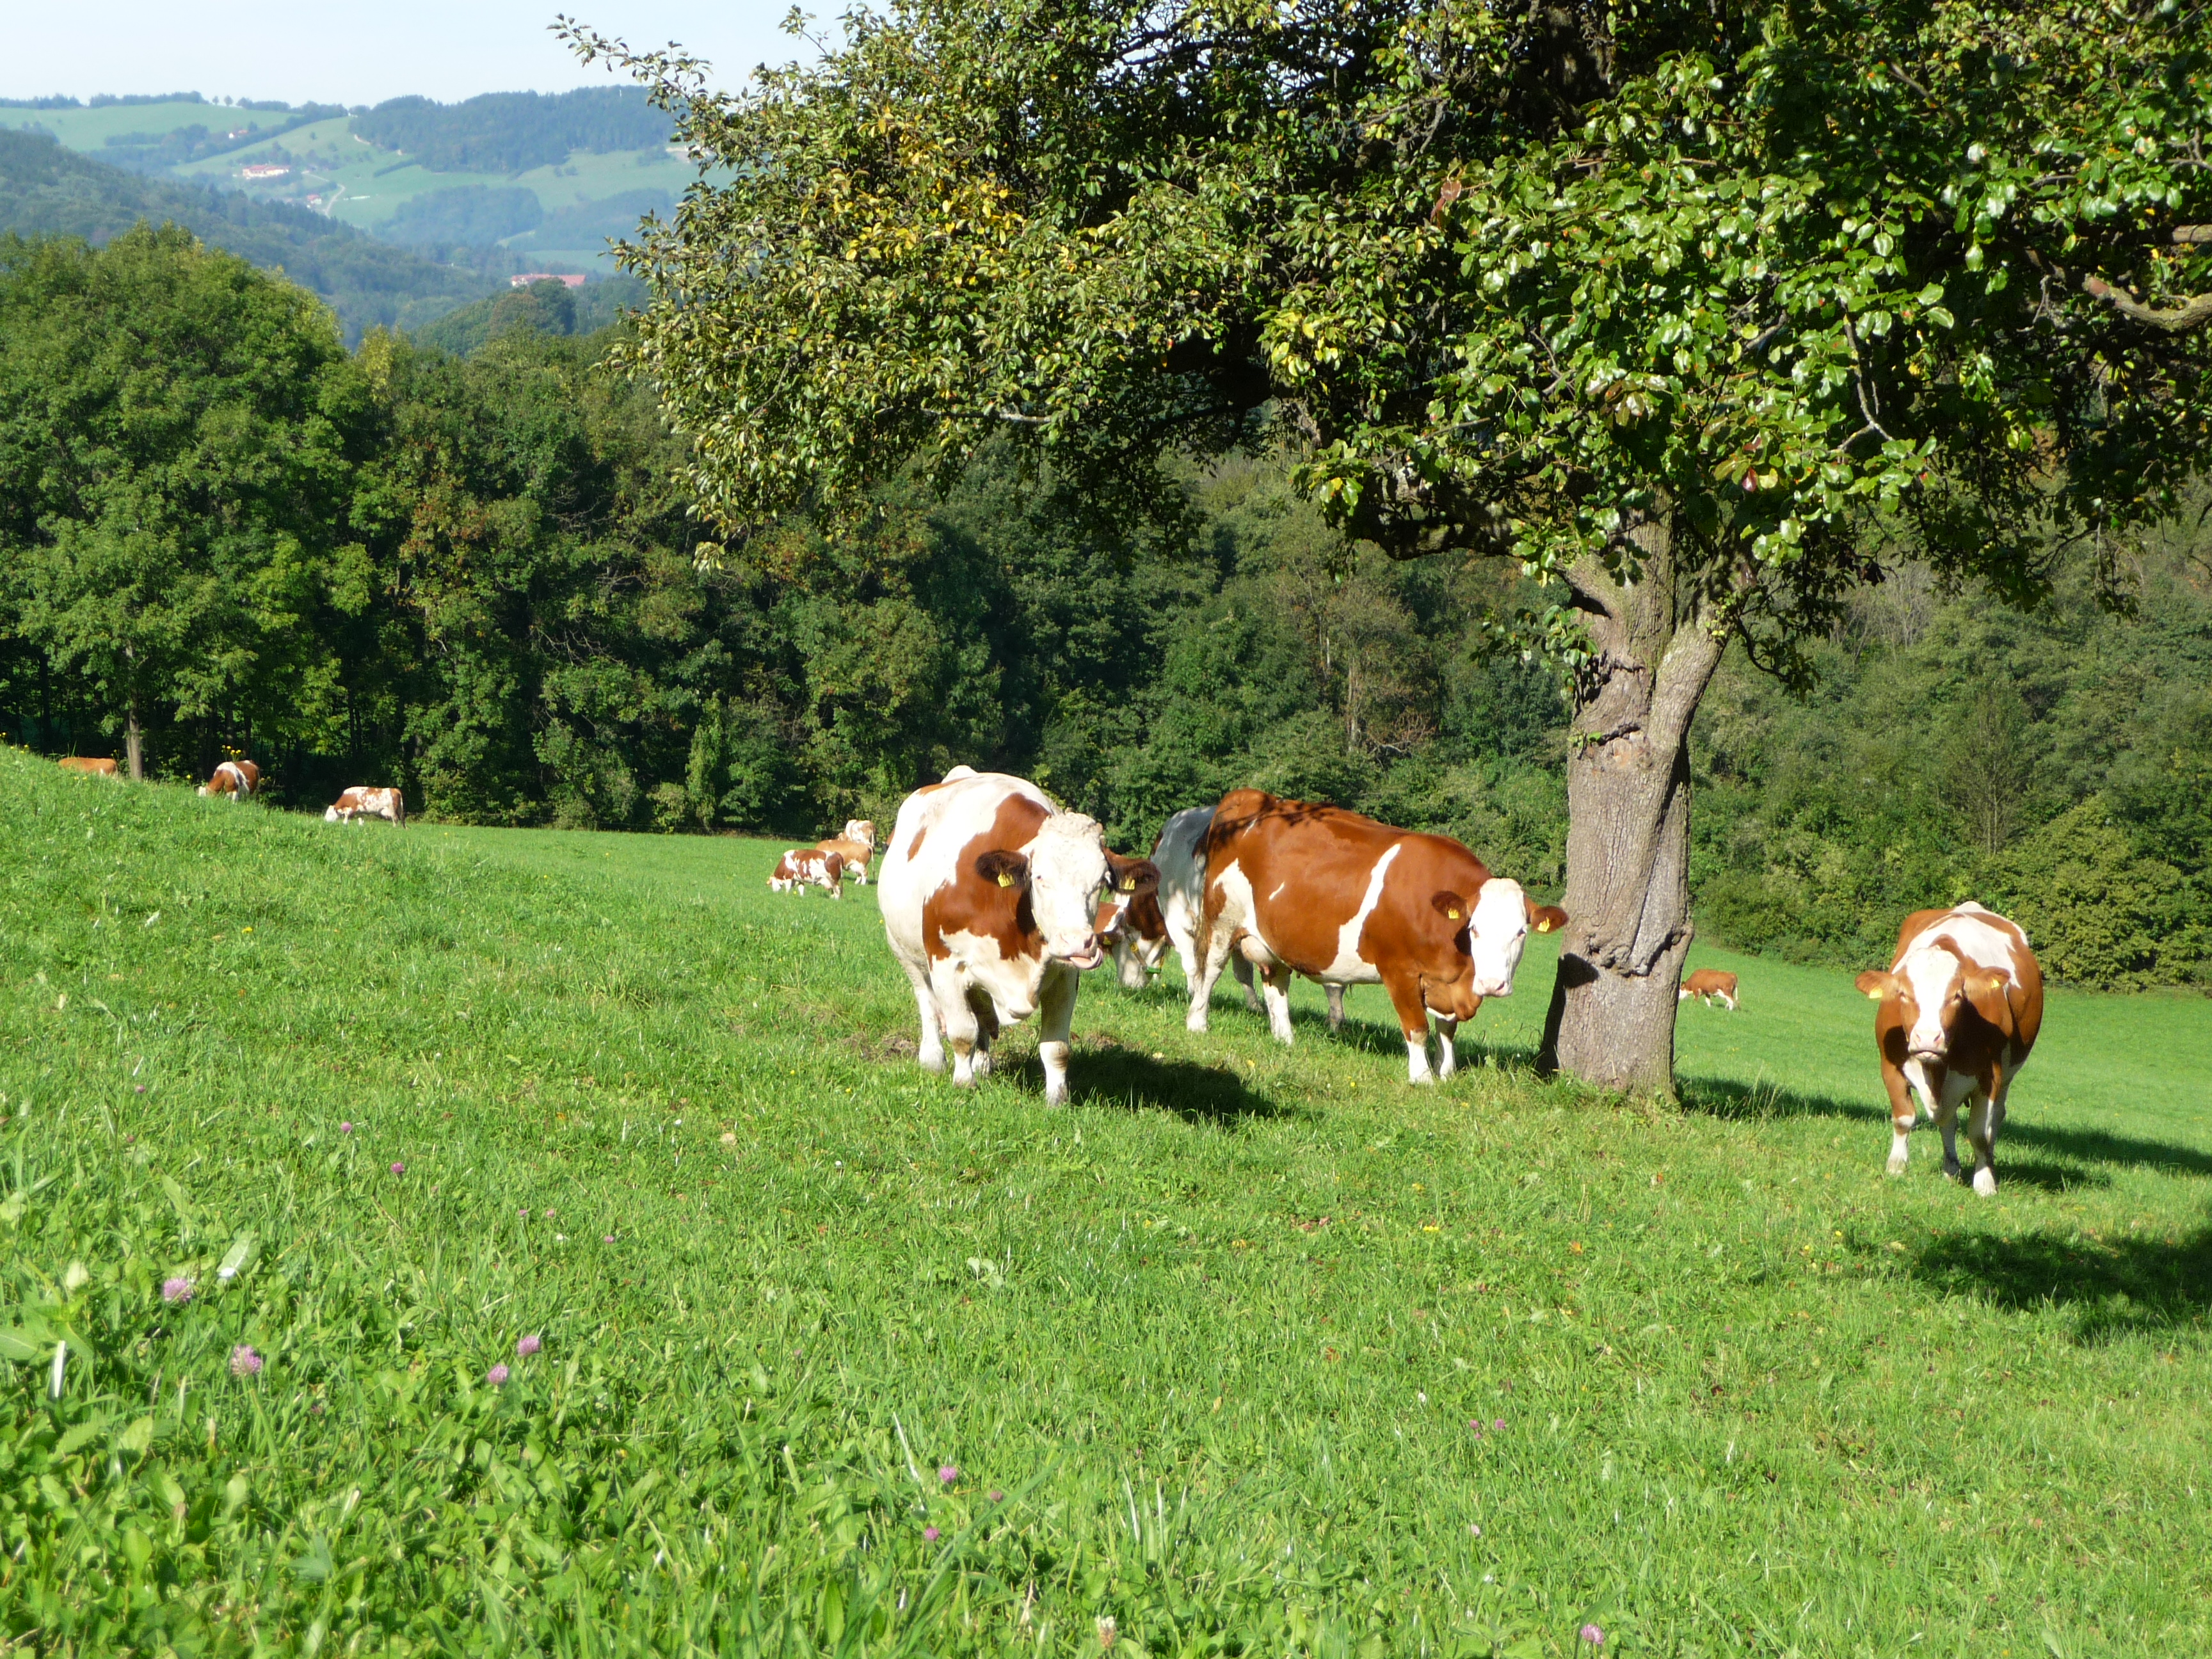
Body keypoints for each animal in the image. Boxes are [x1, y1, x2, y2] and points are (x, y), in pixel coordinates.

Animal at [880, 769, 1157, 1105]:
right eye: (1039, 878)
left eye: (1102, 882)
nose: (1079, 943)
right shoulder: (945, 963)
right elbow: (961, 1032)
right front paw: (964, 1083)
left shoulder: (1065, 977)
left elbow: (1057, 1048)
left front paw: (1057, 1099)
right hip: (905, 951)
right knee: (927, 1003)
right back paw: (933, 1059)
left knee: (983, 1015)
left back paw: (983, 1064)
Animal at [1190, 790, 1566, 1084]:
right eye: (1474, 928)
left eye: (1521, 932)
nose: (1492, 985)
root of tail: (1257, 797)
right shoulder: (1399, 970)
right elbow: (1417, 1027)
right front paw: (1422, 1078)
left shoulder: (1447, 981)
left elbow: (1447, 1030)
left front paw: (1446, 1073)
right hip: (1221, 921)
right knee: (1209, 972)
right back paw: (1197, 1024)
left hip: (1275, 936)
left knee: (1276, 984)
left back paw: (1285, 1040)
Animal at [1855, 902, 2042, 1196]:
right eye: (1904, 994)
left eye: (1957, 996)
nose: (1927, 1039)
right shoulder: (1890, 1065)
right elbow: (1903, 1118)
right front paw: (1896, 1167)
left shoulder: (1991, 1075)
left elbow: (1980, 1133)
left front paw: (1985, 1183)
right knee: (1949, 1121)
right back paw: (1951, 1168)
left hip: (2007, 1076)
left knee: (1995, 1119)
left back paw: (1988, 1164)